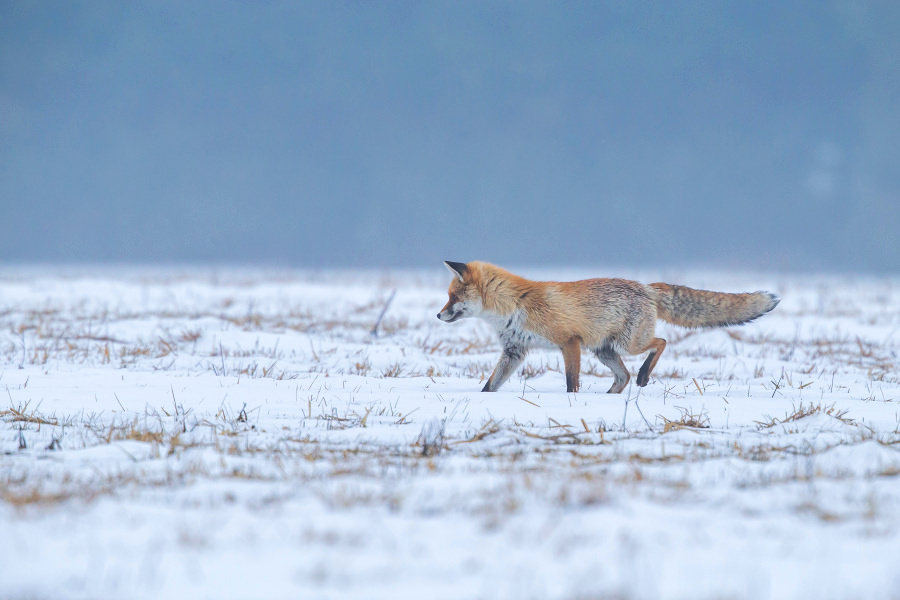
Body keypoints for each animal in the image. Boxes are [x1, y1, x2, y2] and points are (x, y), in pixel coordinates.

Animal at [434, 262, 772, 394]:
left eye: (453, 297)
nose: (438, 315)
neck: (515, 305)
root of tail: (646, 287)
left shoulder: (569, 342)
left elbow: (571, 382)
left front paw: (572, 402)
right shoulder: (514, 351)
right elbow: (490, 385)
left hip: (626, 344)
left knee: (660, 342)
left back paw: (644, 376)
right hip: (604, 351)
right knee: (622, 377)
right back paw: (610, 396)